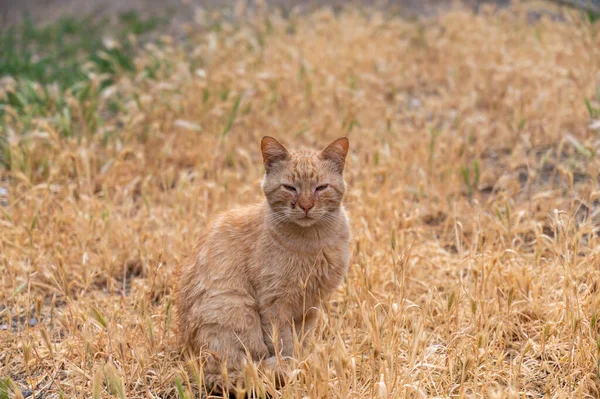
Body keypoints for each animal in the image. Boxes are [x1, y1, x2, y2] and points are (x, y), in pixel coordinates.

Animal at [175, 138, 352, 394]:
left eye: (320, 188)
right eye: (289, 187)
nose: (306, 206)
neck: (314, 243)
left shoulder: (310, 306)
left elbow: (302, 340)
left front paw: (302, 363)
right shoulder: (275, 304)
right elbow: (284, 344)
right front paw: (292, 367)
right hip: (235, 309)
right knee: (233, 372)